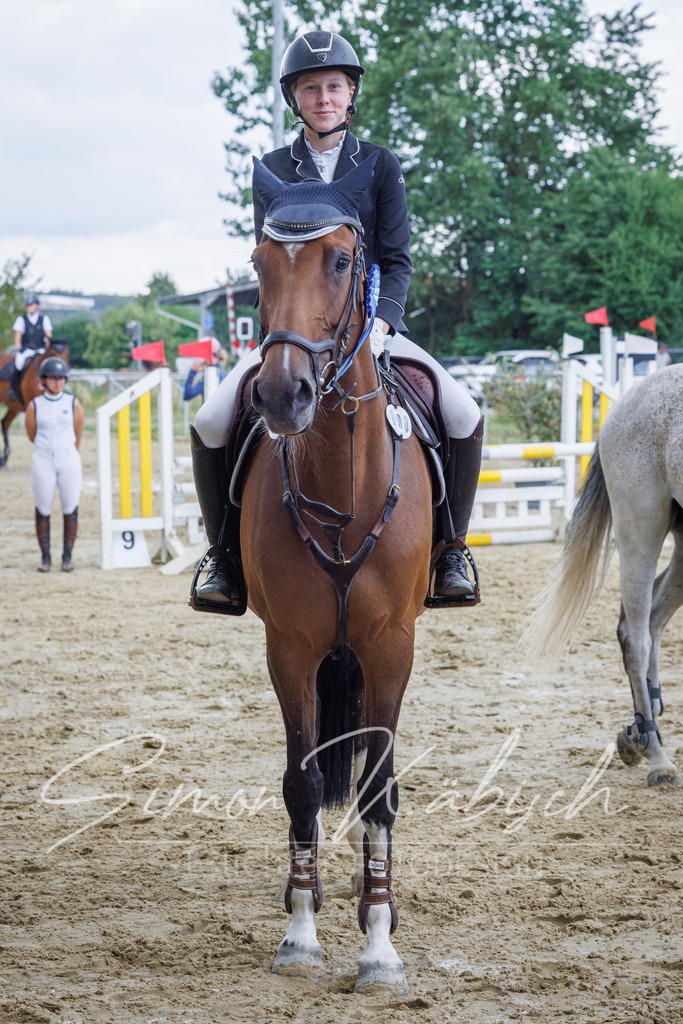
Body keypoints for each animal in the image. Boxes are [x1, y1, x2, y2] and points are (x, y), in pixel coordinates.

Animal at [521, 365, 683, 786]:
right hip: (640, 526)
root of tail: (628, 398)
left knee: (651, 620)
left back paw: (640, 733)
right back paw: (655, 753)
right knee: (637, 635)